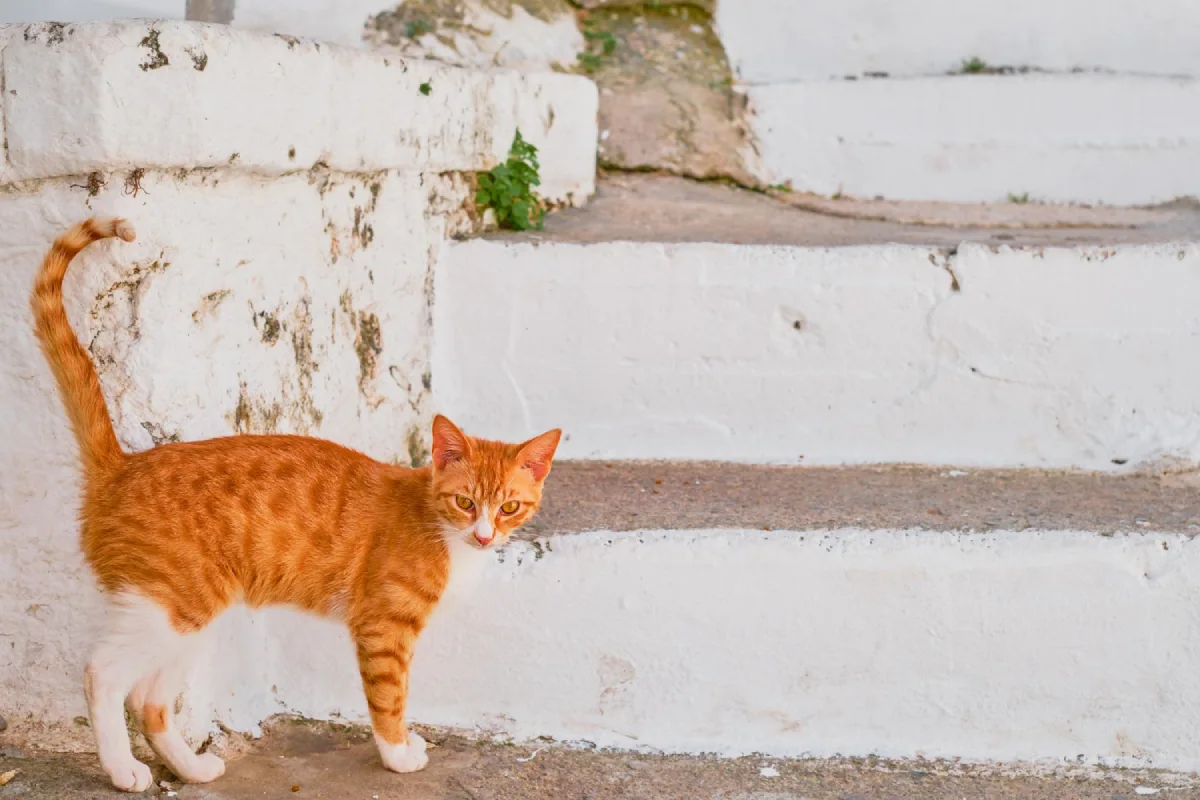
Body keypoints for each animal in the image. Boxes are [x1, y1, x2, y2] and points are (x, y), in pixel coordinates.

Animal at [30, 219, 559, 796]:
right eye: (466, 502)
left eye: (509, 507)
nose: (486, 535)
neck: (441, 530)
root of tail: (122, 465)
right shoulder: (383, 628)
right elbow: (390, 697)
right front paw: (397, 753)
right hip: (168, 606)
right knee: (103, 675)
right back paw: (122, 768)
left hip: (190, 616)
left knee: (149, 700)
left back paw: (192, 768)